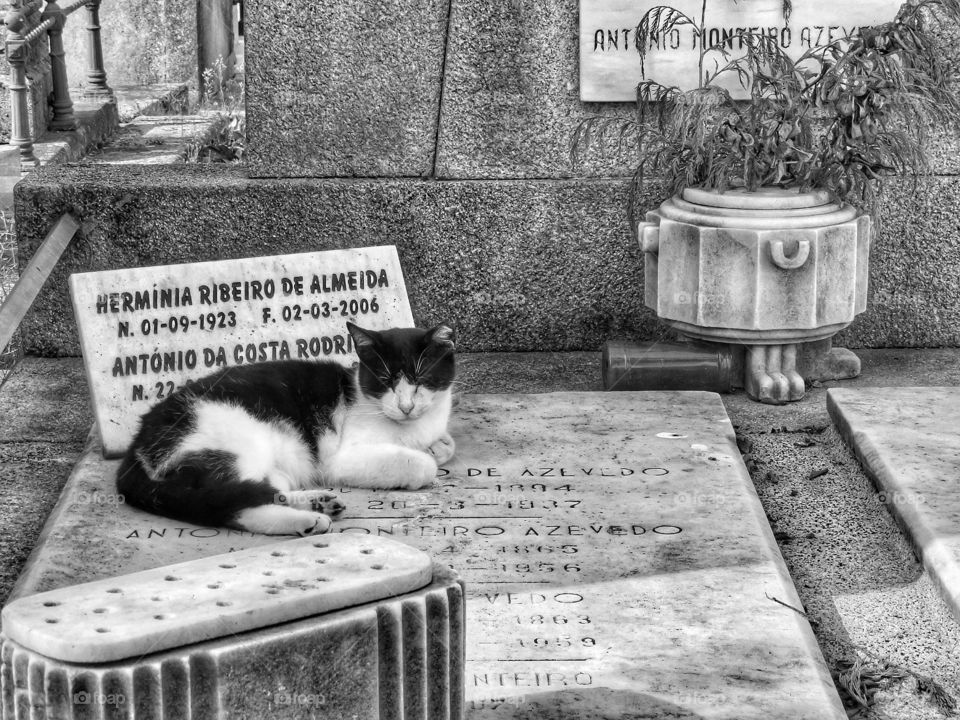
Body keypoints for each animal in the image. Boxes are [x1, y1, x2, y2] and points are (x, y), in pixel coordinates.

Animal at [115, 324, 454, 536]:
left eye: (421, 377)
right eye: (385, 380)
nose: (406, 406)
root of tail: (136, 446)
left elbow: (445, 447)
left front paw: (438, 445)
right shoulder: (340, 459)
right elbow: (421, 465)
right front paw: (425, 458)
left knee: (264, 491)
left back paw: (318, 502)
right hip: (242, 442)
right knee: (232, 505)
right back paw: (307, 519)